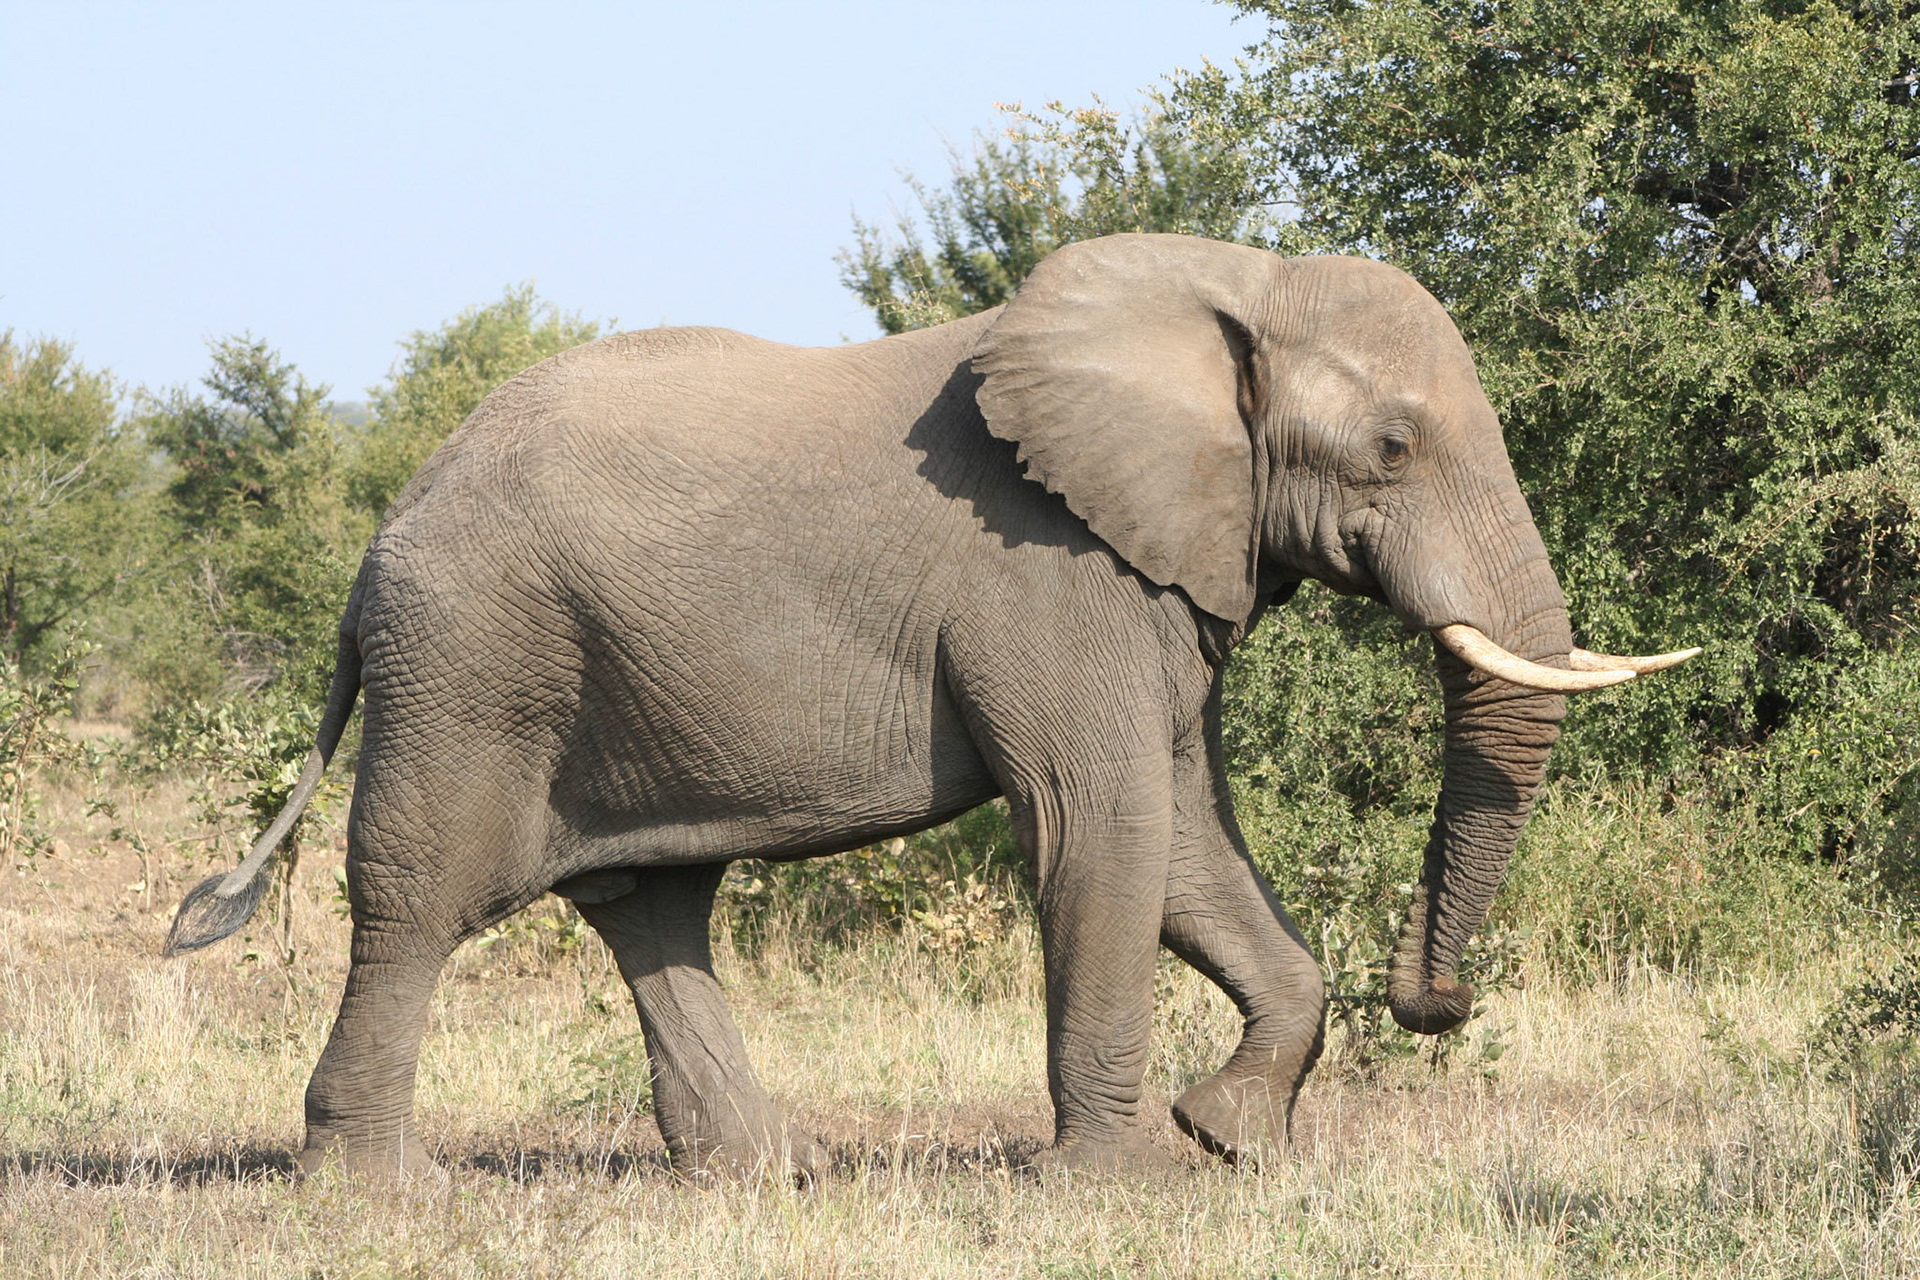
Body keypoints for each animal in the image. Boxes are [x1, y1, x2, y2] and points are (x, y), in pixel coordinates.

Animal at [164, 233, 1694, 1179]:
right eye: (1390, 445)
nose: (1440, 999)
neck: (1226, 285)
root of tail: (381, 536)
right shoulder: (1050, 570)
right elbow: (1105, 827)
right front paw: (1121, 1182)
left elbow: (1188, 835)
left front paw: (1230, 1142)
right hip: (473, 659)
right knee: (418, 897)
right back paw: (377, 1190)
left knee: (651, 899)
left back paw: (765, 1176)